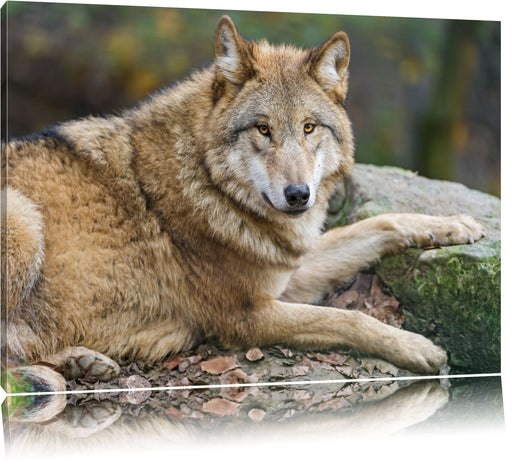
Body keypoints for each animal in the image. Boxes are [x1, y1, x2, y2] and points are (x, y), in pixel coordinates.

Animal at [3, 17, 484, 398]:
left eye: (309, 128)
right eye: (263, 129)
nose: (298, 195)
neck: (209, 183)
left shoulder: (288, 274)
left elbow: (378, 223)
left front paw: (455, 225)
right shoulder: (248, 315)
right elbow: (347, 319)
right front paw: (418, 348)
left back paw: (81, 362)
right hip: (23, 219)